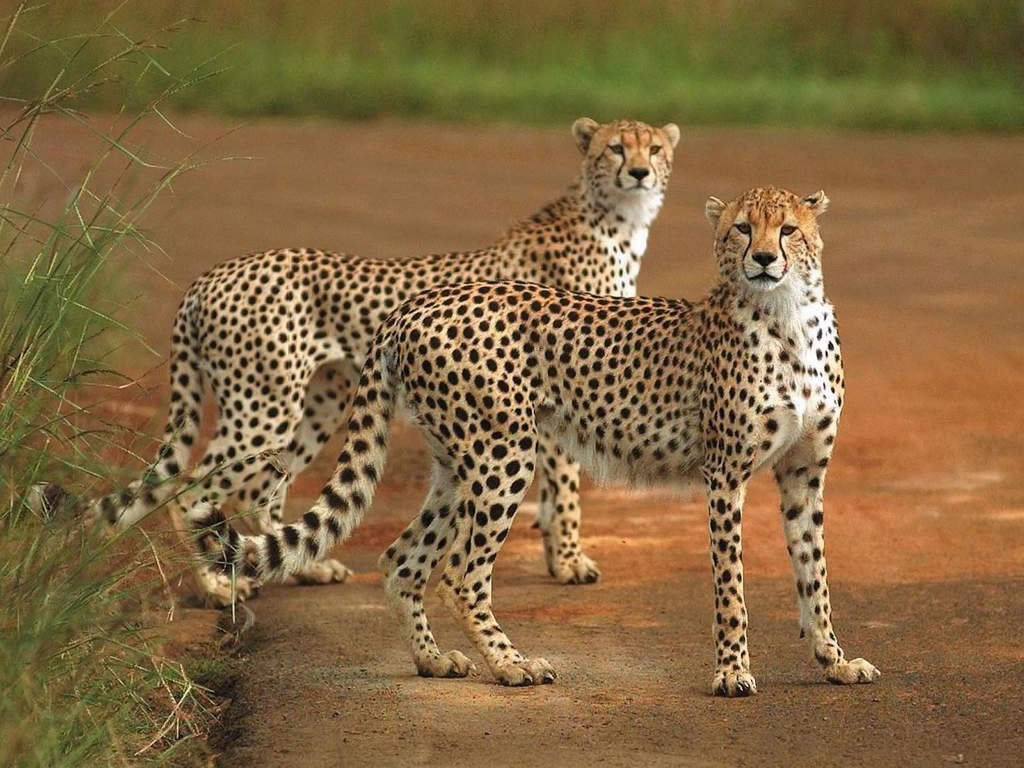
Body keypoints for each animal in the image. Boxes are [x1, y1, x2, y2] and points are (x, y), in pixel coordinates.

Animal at [36, 115, 684, 606]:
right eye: (614, 147)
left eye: (653, 147)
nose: (639, 171)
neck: (614, 221)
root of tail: (211, 274)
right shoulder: (557, 387)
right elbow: (566, 485)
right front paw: (569, 560)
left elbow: (553, 492)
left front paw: (556, 552)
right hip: (263, 409)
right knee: (192, 490)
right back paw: (219, 585)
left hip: (315, 403)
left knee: (258, 490)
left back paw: (296, 567)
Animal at [209, 186, 880, 696]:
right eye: (742, 228)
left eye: (788, 230)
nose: (763, 258)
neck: (788, 314)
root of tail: (418, 303)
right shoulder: (725, 476)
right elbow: (732, 585)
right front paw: (732, 673)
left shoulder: (803, 475)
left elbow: (814, 575)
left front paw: (834, 660)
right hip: (504, 453)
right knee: (460, 574)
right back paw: (511, 666)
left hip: (456, 463)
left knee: (403, 560)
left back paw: (433, 660)